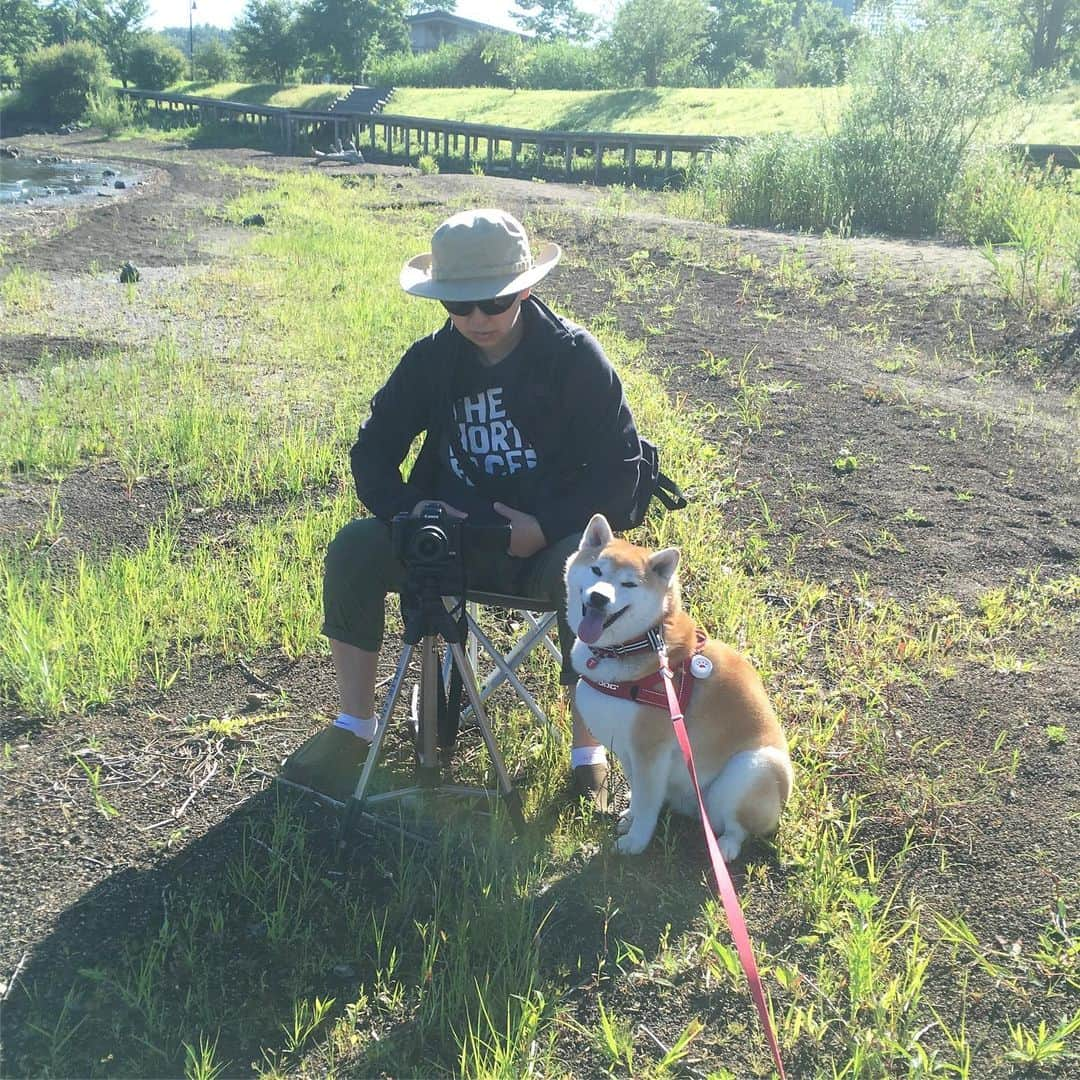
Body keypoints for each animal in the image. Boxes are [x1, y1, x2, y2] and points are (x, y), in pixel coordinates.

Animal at [565, 514, 794, 859]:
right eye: (596, 571)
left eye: (629, 584)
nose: (598, 597)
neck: (632, 646)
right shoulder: (629, 752)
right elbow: (639, 796)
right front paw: (630, 817)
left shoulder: (651, 752)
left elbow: (647, 804)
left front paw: (635, 841)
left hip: (755, 767)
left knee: (739, 828)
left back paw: (725, 846)